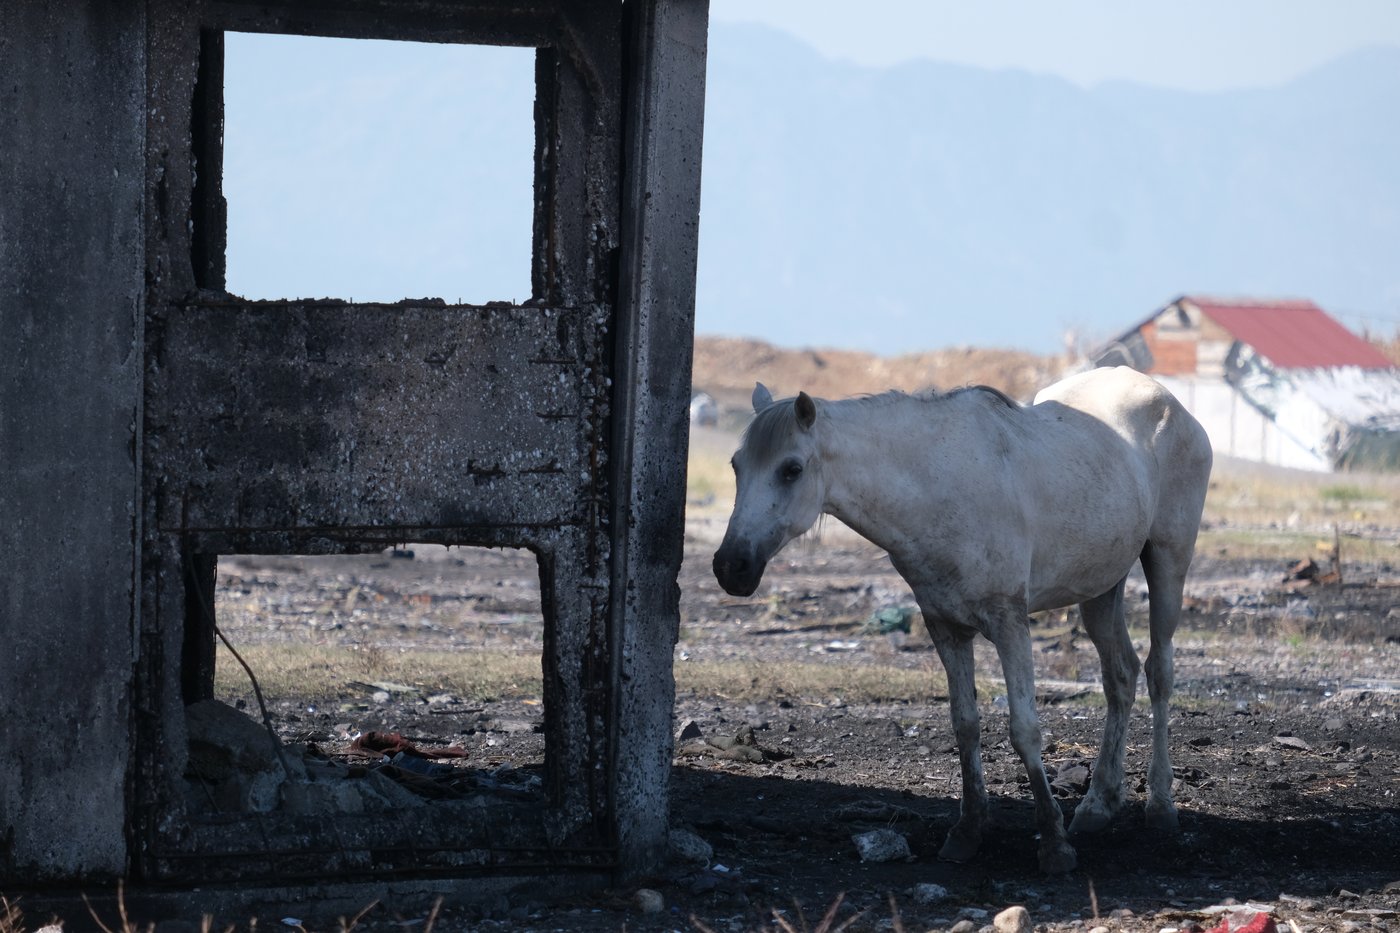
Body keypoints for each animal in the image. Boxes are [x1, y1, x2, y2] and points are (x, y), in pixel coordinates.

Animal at [712, 366, 1212, 873]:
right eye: (736, 465)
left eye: (791, 468)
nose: (731, 566)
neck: (938, 485)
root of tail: (1164, 398)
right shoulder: (945, 627)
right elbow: (965, 724)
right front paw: (967, 831)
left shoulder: (1010, 622)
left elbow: (1025, 729)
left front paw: (1053, 845)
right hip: (1100, 588)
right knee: (1120, 677)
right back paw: (1096, 807)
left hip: (1168, 562)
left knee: (1158, 674)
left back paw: (1160, 805)